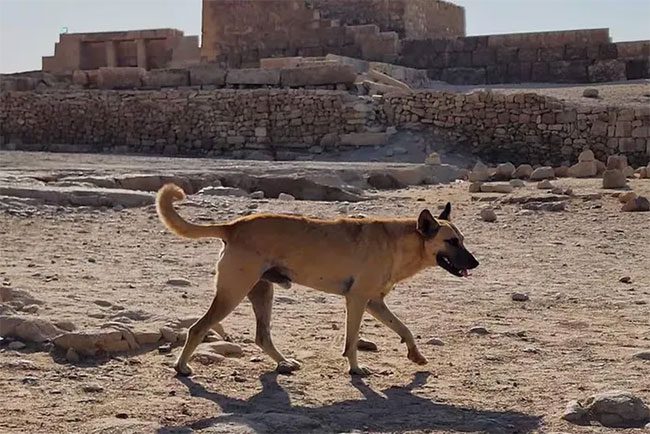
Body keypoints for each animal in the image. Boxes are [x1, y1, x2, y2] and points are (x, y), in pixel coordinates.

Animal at [156, 183, 476, 376]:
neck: (400, 241)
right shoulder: (357, 300)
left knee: (262, 336)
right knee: (198, 328)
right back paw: (181, 367)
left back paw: (283, 362)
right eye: (451, 242)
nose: (476, 263)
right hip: (232, 293)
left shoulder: (375, 303)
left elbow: (404, 328)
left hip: (262, 293)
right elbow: (352, 340)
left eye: (462, 240)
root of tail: (234, 226)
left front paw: (416, 355)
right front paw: (355, 369)